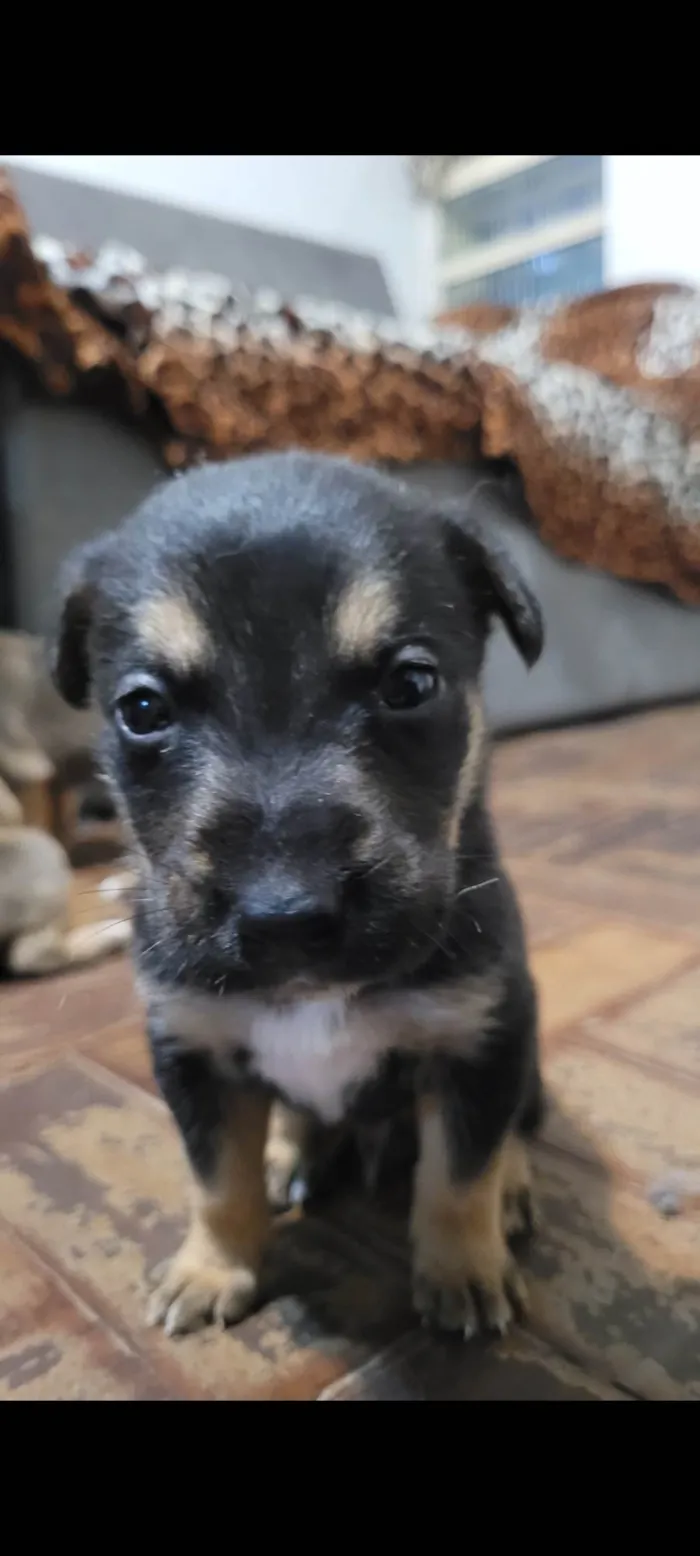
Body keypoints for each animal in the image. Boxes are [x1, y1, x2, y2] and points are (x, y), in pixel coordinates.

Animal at [53, 451, 547, 1338]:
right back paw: (291, 1150)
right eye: (142, 709)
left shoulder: (480, 1036)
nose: (284, 917)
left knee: (516, 1124)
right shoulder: (194, 1051)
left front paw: (462, 1272)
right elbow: (217, 1181)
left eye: (411, 684)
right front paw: (212, 1269)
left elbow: (459, 1175)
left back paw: (515, 1183)